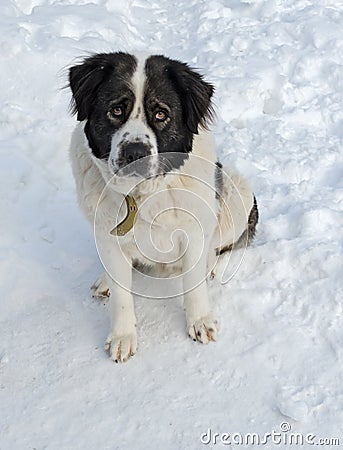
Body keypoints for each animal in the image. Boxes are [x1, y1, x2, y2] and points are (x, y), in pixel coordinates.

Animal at [68, 51, 260, 362]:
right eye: (116, 110)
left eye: (160, 114)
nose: (135, 152)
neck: (141, 195)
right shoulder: (106, 233)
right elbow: (122, 294)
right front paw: (123, 336)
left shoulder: (194, 229)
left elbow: (194, 283)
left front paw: (200, 321)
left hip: (237, 192)